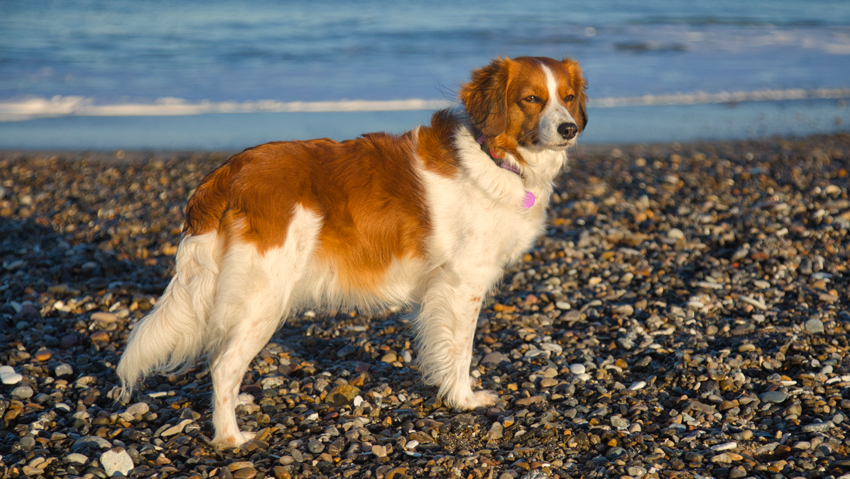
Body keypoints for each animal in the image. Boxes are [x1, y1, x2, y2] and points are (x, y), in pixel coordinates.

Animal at [116, 56, 588, 450]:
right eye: (531, 98)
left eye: (567, 97)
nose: (570, 129)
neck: (494, 157)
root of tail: (230, 172)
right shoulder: (462, 283)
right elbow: (460, 350)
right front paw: (463, 398)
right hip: (265, 296)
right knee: (224, 365)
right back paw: (231, 437)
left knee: (219, 354)